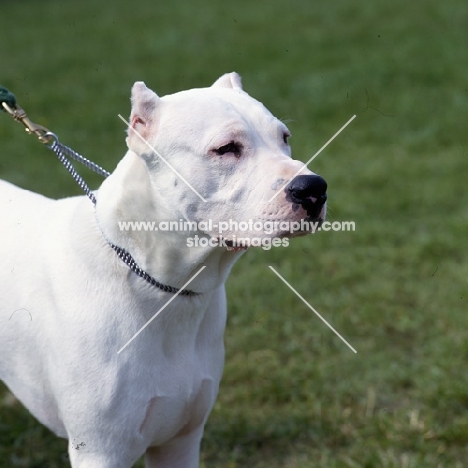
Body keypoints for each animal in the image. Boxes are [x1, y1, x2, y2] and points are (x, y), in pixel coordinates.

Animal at [0, 72, 328, 464]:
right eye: (226, 148)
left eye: (284, 138)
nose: (313, 188)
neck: (161, 284)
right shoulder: (101, 451)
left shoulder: (180, 441)